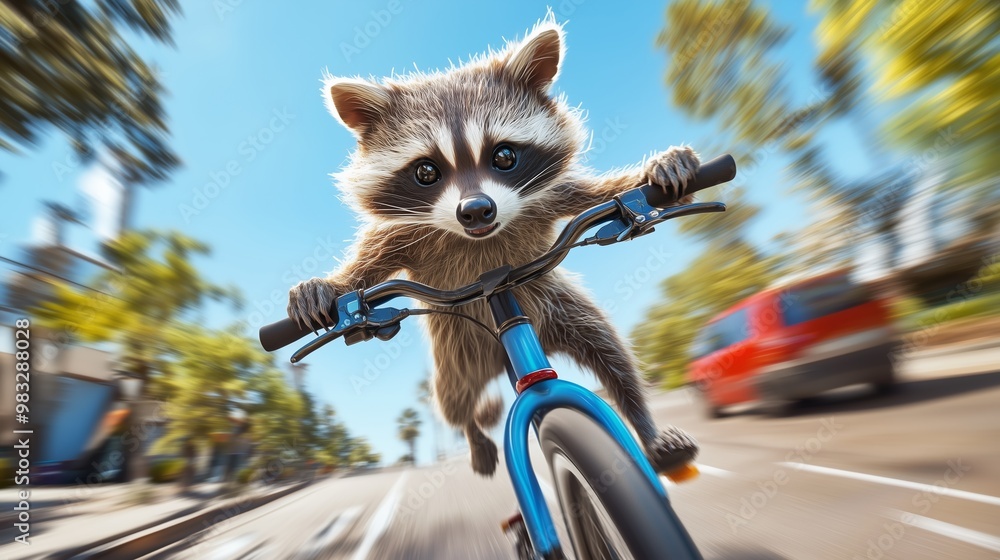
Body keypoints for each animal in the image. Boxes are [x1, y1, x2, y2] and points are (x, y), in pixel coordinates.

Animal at [290, 17, 699, 476]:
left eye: (504, 156)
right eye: (426, 171)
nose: (476, 211)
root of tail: (500, 358)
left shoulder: (548, 196)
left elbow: (600, 195)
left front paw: (657, 172)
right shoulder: (405, 233)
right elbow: (369, 262)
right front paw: (331, 285)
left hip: (552, 306)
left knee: (609, 351)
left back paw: (645, 425)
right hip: (455, 353)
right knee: (455, 404)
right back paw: (474, 437)